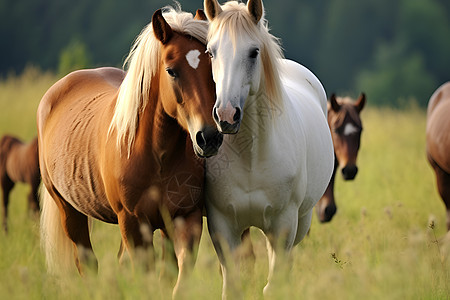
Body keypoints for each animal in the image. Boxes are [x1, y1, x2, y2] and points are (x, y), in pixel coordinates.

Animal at [37, 7, 222, 296]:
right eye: (171, 71)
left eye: (212, 67)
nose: (209, 137)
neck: (157, 155)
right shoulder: (133, 223)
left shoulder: (184, 219)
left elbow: (175, 277)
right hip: (69, 210)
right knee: (87, 263)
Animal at [204, 0, 334, 296]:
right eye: (211, 52)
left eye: (254, 52)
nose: (226, 115)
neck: (251, 157)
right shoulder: (222, 226)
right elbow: (232, 286)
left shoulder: (284, 225)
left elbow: (274, 286)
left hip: (301, 222)